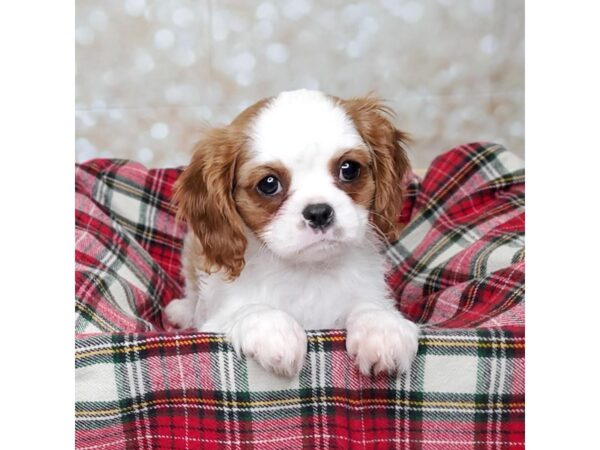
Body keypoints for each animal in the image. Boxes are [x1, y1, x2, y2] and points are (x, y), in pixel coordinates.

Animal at [163, 89, 418, 378]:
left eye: (349, 169)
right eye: (269, 184)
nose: (318, 212)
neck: (308, 272)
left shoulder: (367, 292)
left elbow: (370, 305)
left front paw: (383, 329)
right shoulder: (214, 323)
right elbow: (250, 309)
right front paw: (275, 332)